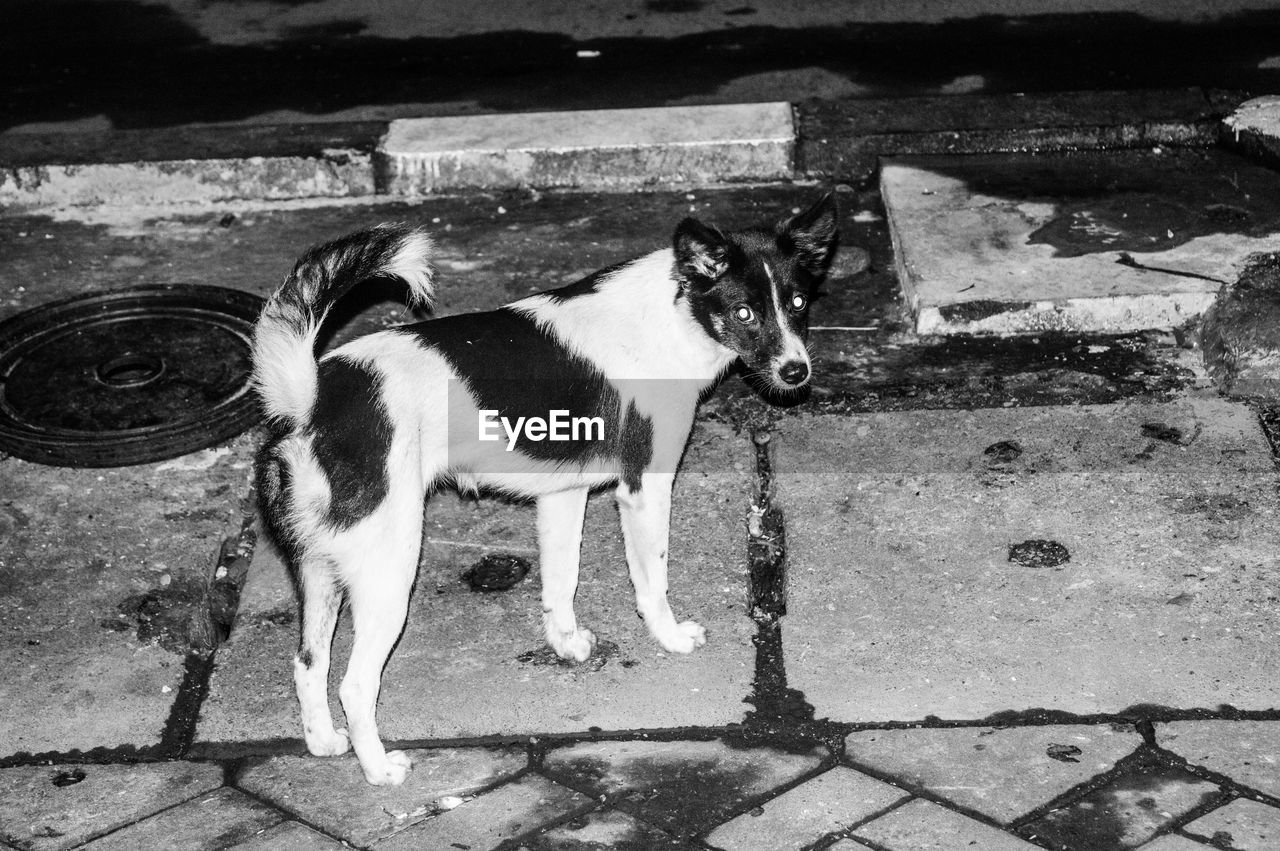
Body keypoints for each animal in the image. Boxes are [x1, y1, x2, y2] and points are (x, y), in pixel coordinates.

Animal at [253, 194, 839, 783]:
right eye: (744, 312)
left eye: (798, 302)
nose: (796, 372)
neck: (673, 313)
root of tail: (310, 400)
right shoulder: (644, 488)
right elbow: (652, 584)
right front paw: (670, 638)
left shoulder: (563, 496)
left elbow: (561, 584)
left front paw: (566, 644)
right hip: (388, 570)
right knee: (354, 684)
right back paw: (379, 770)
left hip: (320, 570)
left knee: (308, 662)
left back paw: (325, 741)